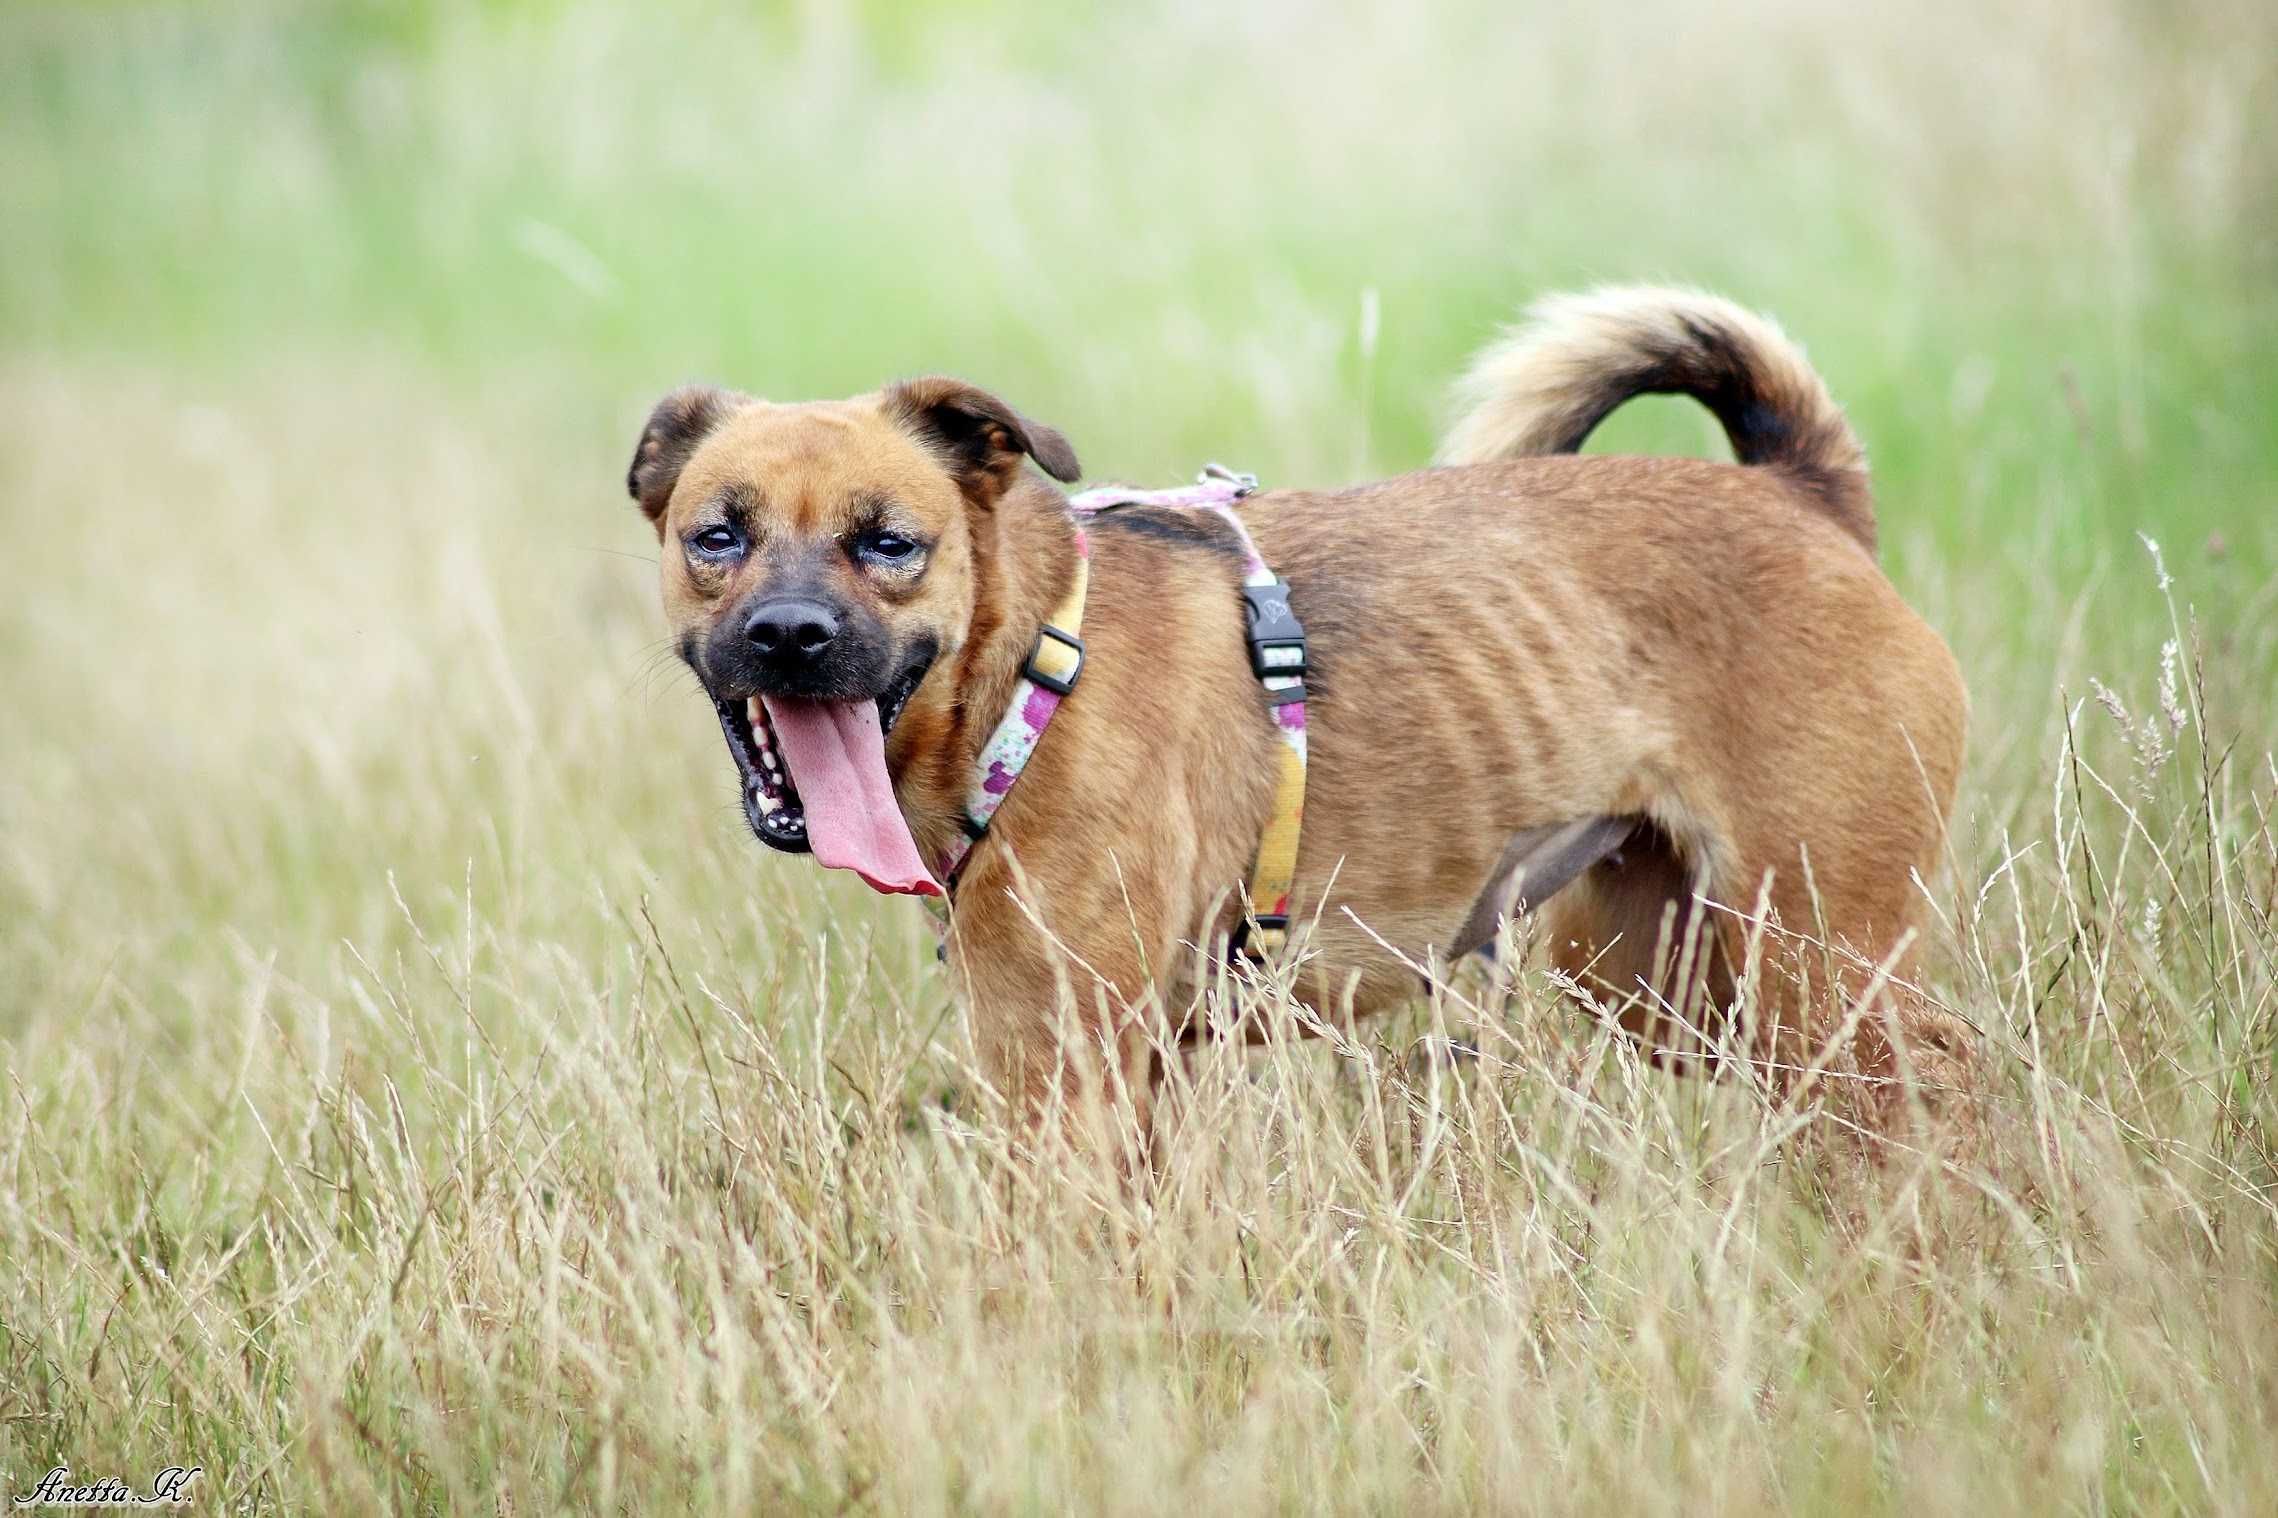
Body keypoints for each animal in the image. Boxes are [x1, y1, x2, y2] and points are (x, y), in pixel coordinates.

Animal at [628, 287, 1977, 1148]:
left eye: (890, 544)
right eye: (717, 537)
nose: (789, 636)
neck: (1030, 667)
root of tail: (1803, 498)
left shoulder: (1068, 1067)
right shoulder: (1106, 1069)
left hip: (1814, 955)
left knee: (1946, 1080)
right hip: (1667, 980)